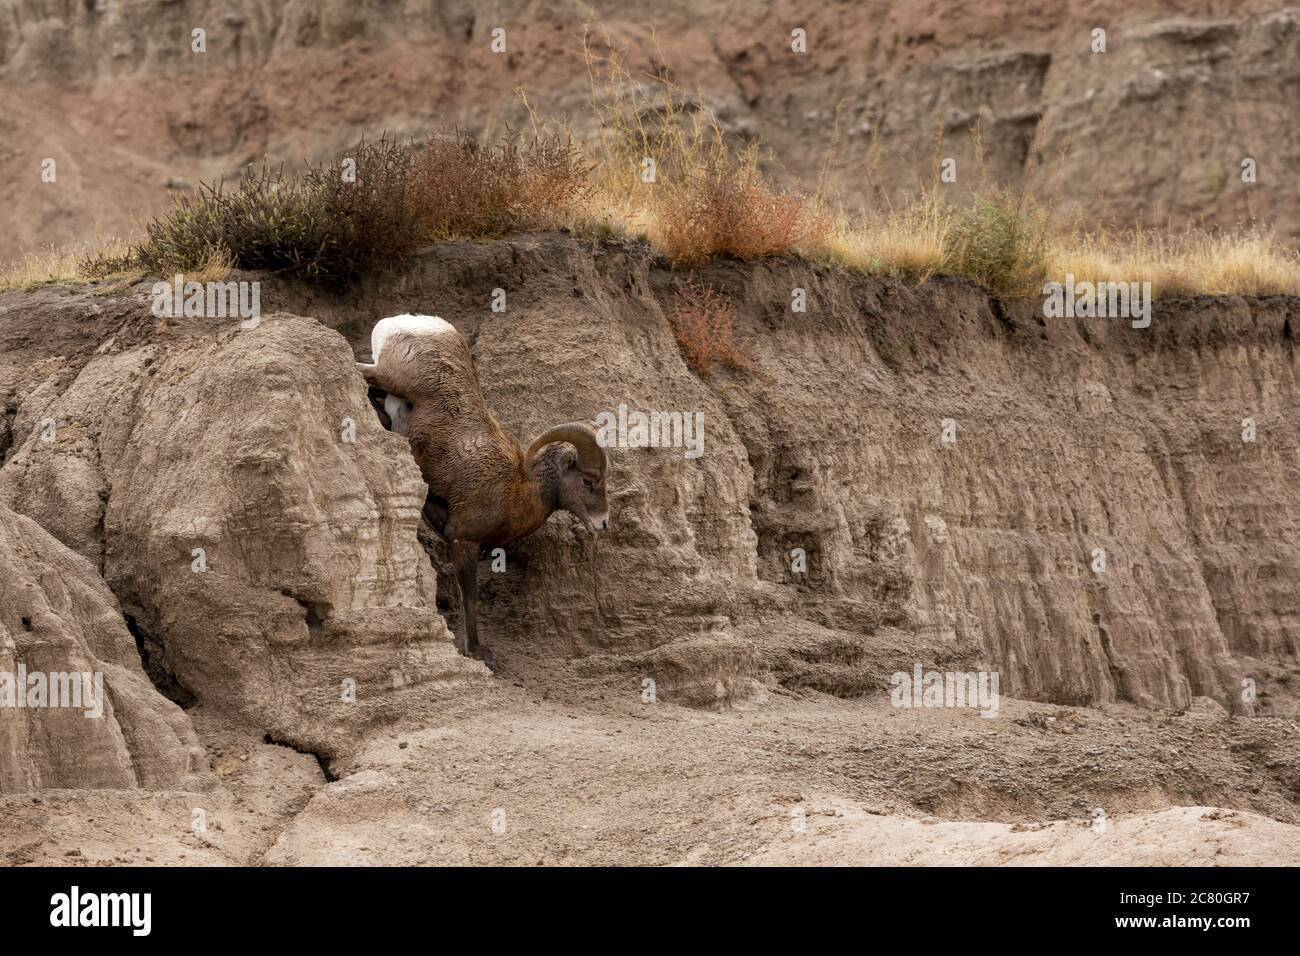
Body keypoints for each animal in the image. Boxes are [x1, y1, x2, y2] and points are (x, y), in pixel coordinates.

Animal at [356, 314, 610, 670]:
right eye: (588, 481)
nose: (603, 523)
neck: (518, 489)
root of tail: (421, 324)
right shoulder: (464, 540)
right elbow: (470, 598)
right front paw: (475, 653)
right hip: (391, 375)